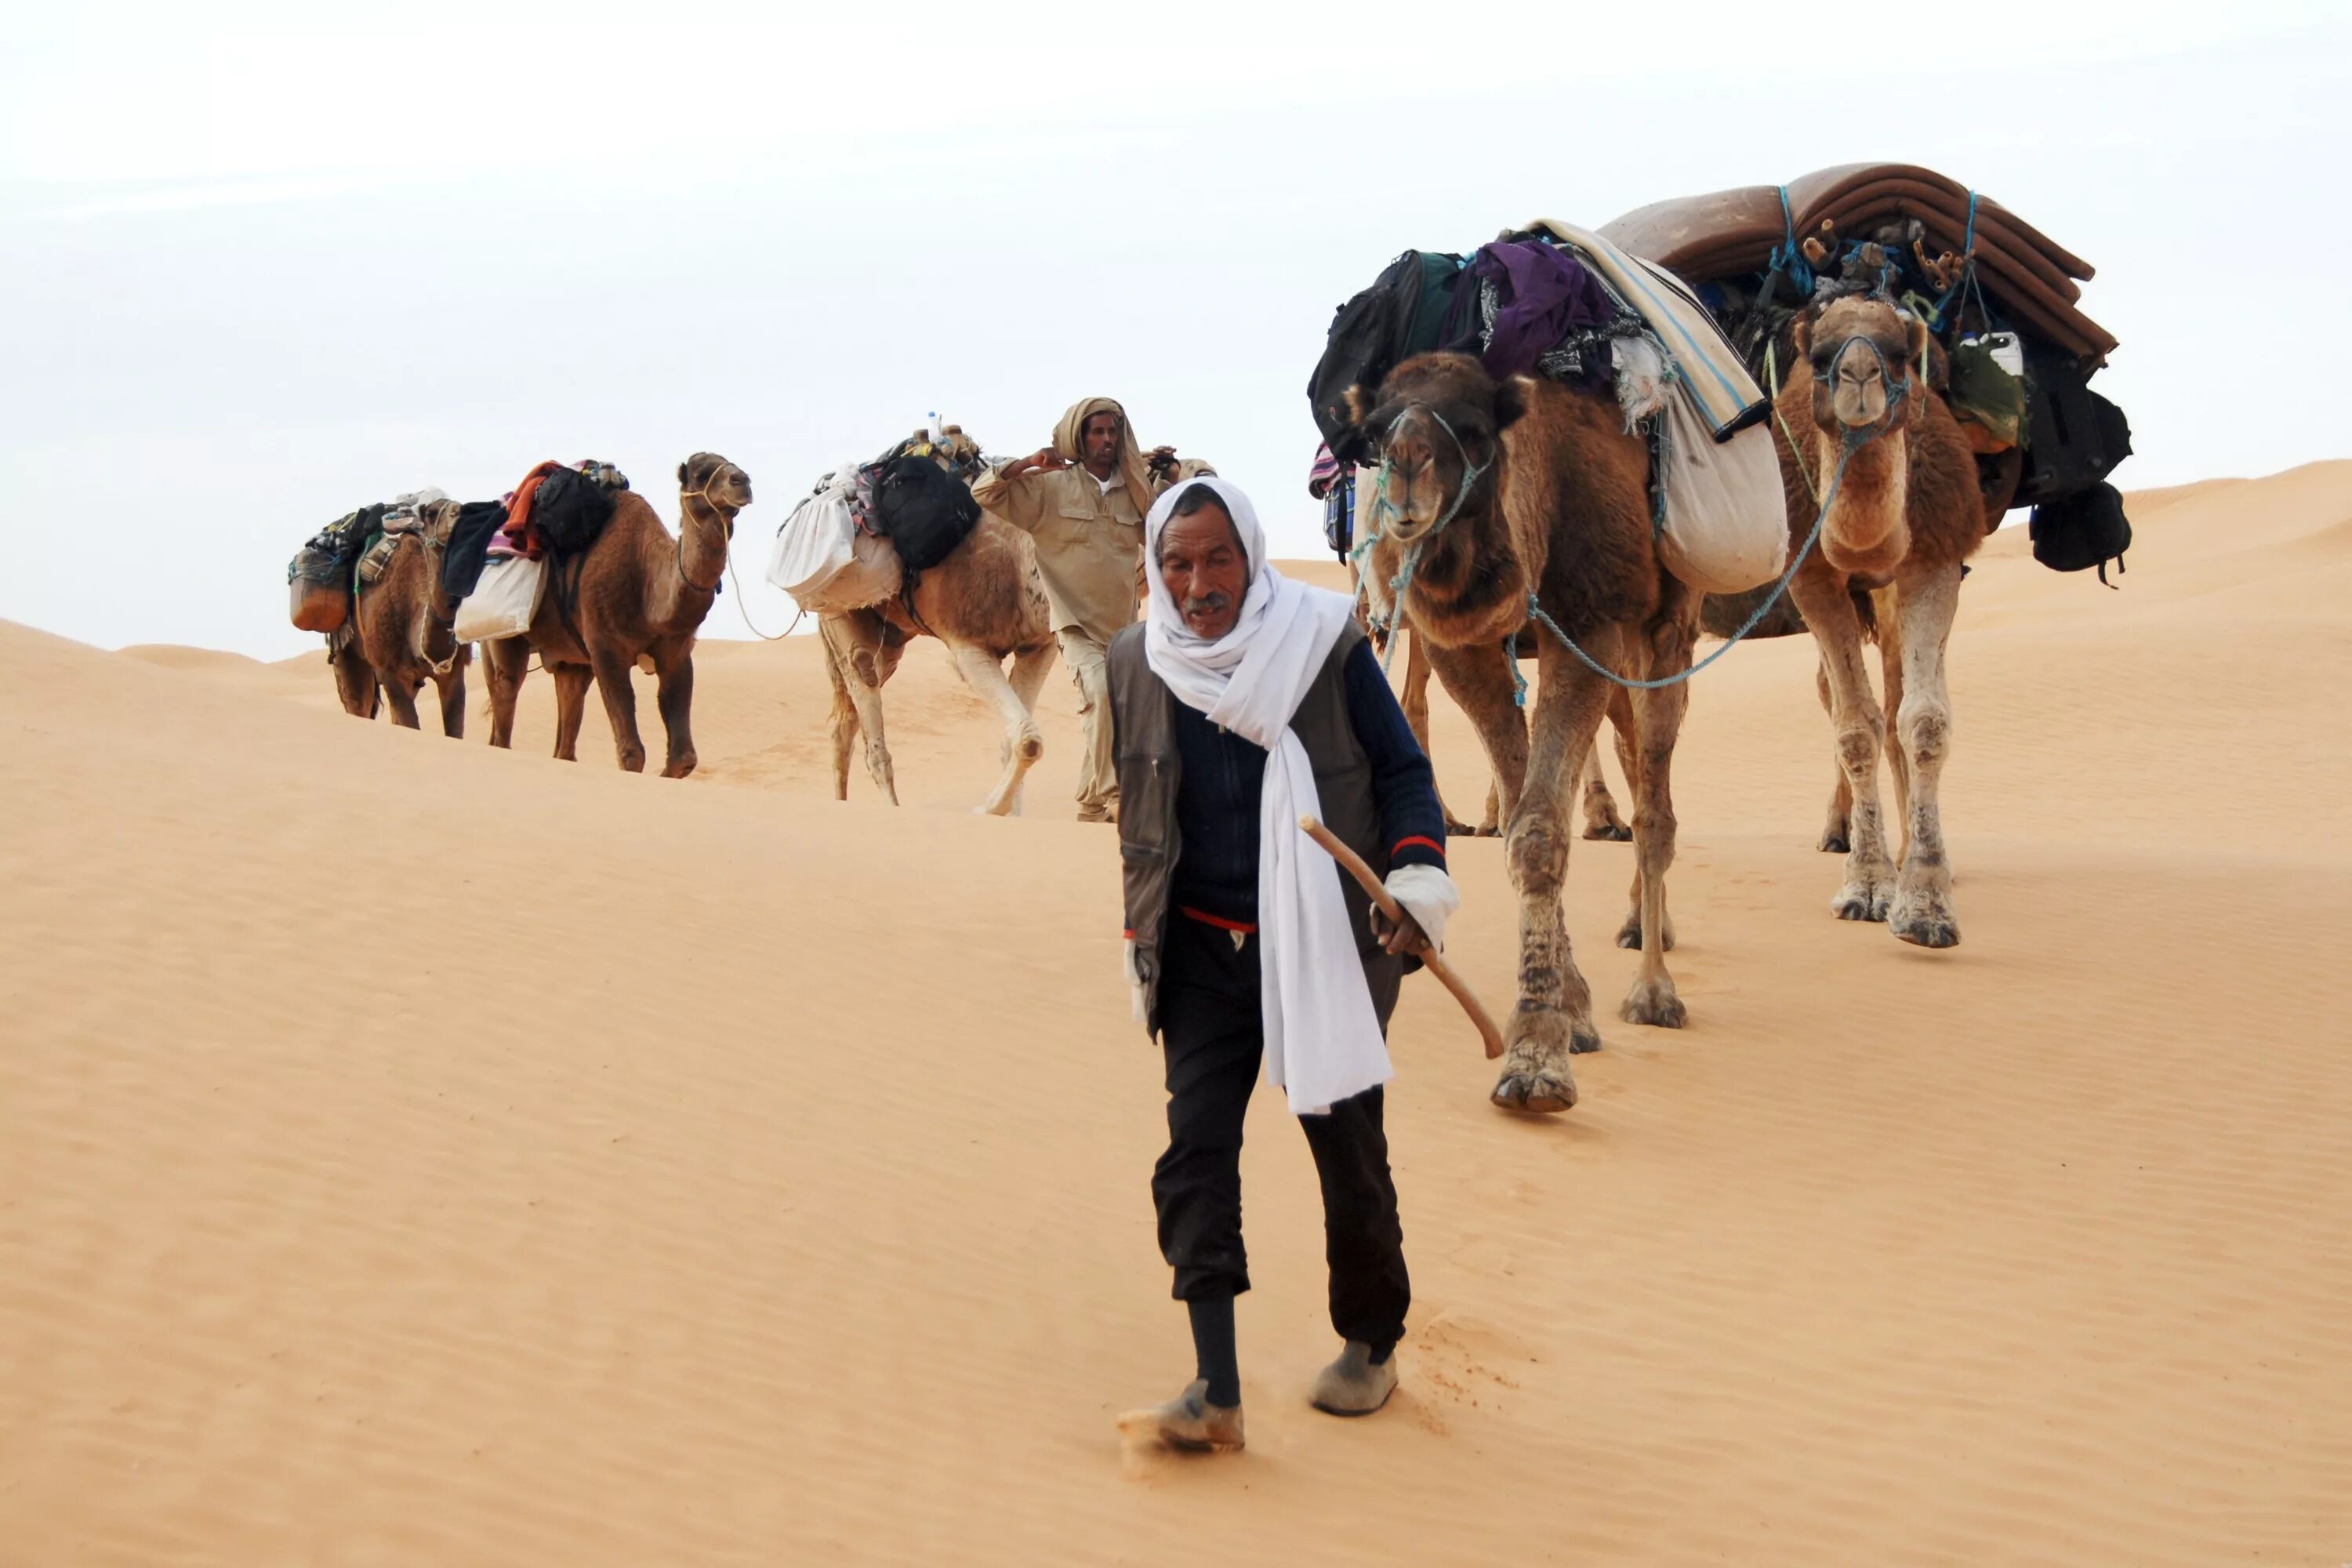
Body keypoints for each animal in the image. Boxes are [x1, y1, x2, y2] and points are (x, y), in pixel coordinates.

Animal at [487, 451, 753, 775]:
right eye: (701, 474)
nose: (742, 481)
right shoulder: (605, 648)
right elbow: (631, 755)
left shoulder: (676, 653)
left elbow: (683, 758)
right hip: (504, 633)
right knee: (506, 695)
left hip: (571, 660)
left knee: (566, 729)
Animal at [818, 432, 1058, 822]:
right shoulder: (968, 648)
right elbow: (1027, 740)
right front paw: (988, 809)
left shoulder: (1039, 647)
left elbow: (1017, 740)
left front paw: (1010, 816)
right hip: (839, 611)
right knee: (866, 700)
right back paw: (890, 811)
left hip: (891, 639)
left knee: (846, 726)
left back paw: (840, 805)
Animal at [1345, 354, 1712, 1114]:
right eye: (1372, 434)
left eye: (1475, 428)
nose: (1405, 470)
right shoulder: (1460, 648)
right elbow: (1520, 819)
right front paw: (1568, 1014)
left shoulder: (1592, 619)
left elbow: (1540, 832)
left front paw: (1537, 1060)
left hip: (1666, 622)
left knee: (1655, 798)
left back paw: (1655, 988)